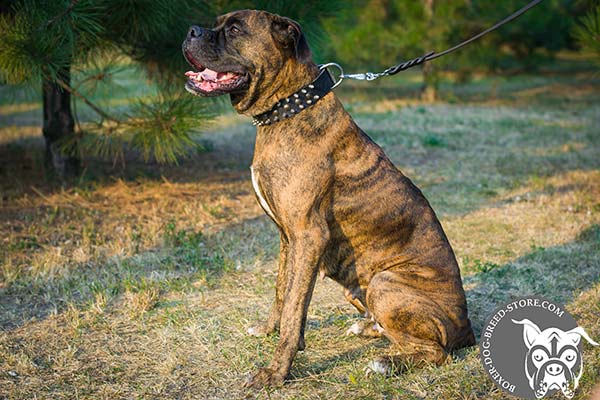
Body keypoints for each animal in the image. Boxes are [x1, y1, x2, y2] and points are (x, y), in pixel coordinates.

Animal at [182, 9, 474, 390]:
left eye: (233, 29)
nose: (190, 30)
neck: (288, 108)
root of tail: (467, 328)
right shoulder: (288, 238)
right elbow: (283, 291)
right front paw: (269, 330)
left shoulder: (309, 236)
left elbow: (294, 308)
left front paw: (276, 372)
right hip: (358, 288)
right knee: (392, 331)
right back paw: (367, 328)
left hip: (385, 283)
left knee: (435, 352)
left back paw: (385, 364)